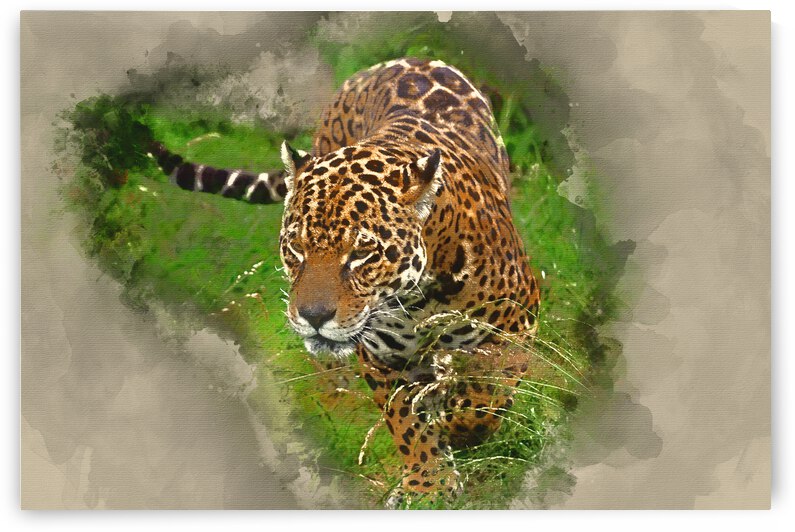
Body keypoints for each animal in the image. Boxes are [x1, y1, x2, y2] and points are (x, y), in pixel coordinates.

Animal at [151, 57, 541, 506]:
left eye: (362, 254)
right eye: (296, 247)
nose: (313, 316)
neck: (418, 300)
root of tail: (389, 64)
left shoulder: (518, 320)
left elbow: (485, 398)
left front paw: (457, 424)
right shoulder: (386, 356)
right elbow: (407, 422)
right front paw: (428, 485)